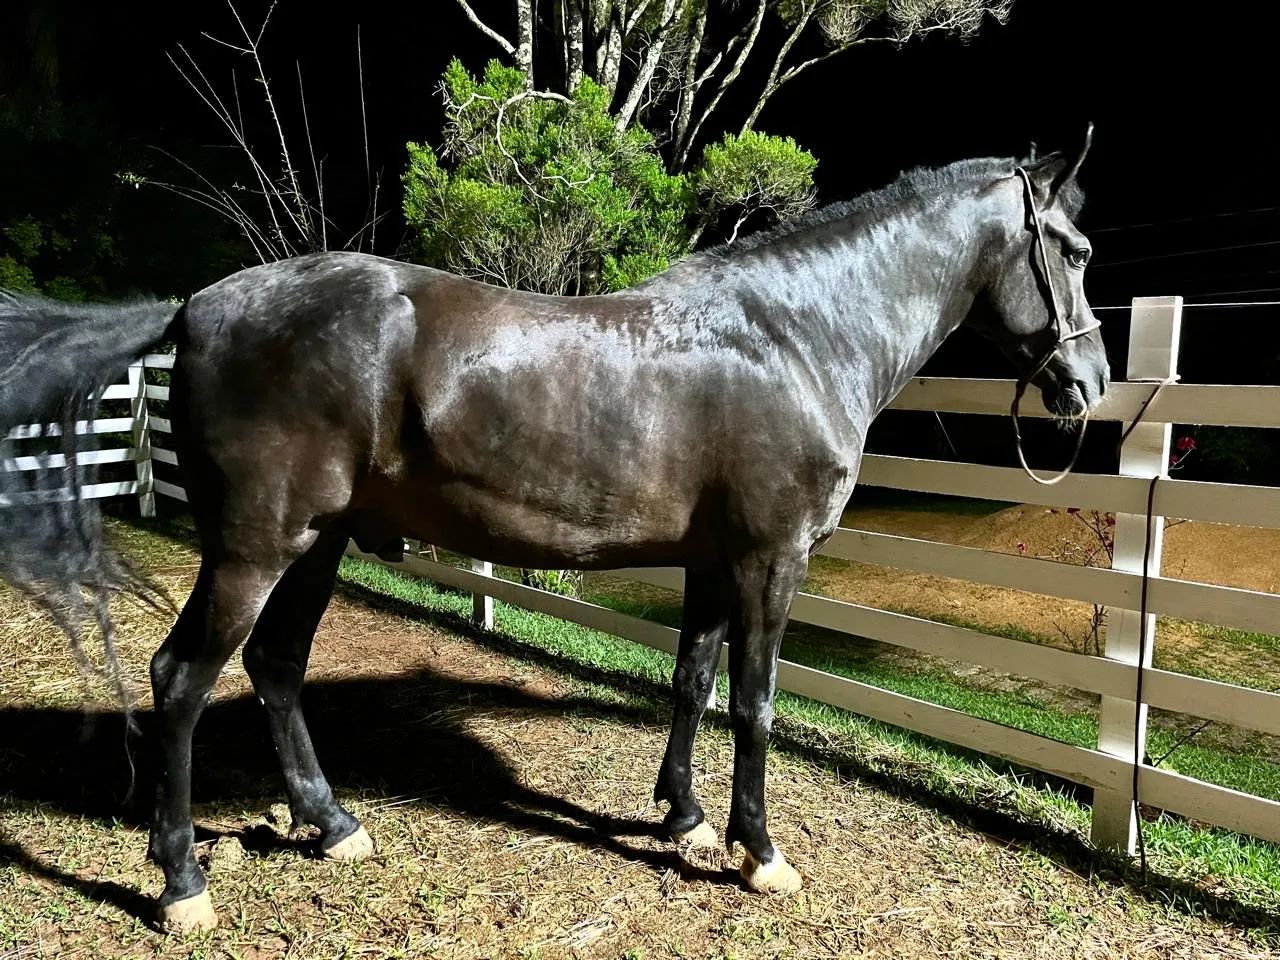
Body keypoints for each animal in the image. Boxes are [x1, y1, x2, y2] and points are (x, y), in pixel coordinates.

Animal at [0, 138, 1108, 933]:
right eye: (1077, 251)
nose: (1091, 382)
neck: (791, 336)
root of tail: (197, 305)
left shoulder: (713, 562)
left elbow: (692, 682)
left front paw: (684, 822)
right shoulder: (769, 560)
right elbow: (754, 704)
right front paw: (759, 853)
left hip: (317, 543)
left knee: (275, 666)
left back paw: (333, 825)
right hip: (256, 547)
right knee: (182, 677)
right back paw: (182, 880)